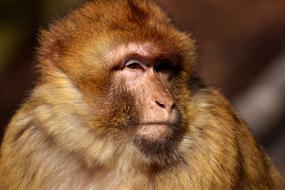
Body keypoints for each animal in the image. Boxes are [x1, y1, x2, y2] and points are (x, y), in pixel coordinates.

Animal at [0, 0, 284, 190]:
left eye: (163, 67)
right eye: (134, 66)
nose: (166, 102)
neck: (111, 153)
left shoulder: (213, 137)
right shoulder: (27, 141)